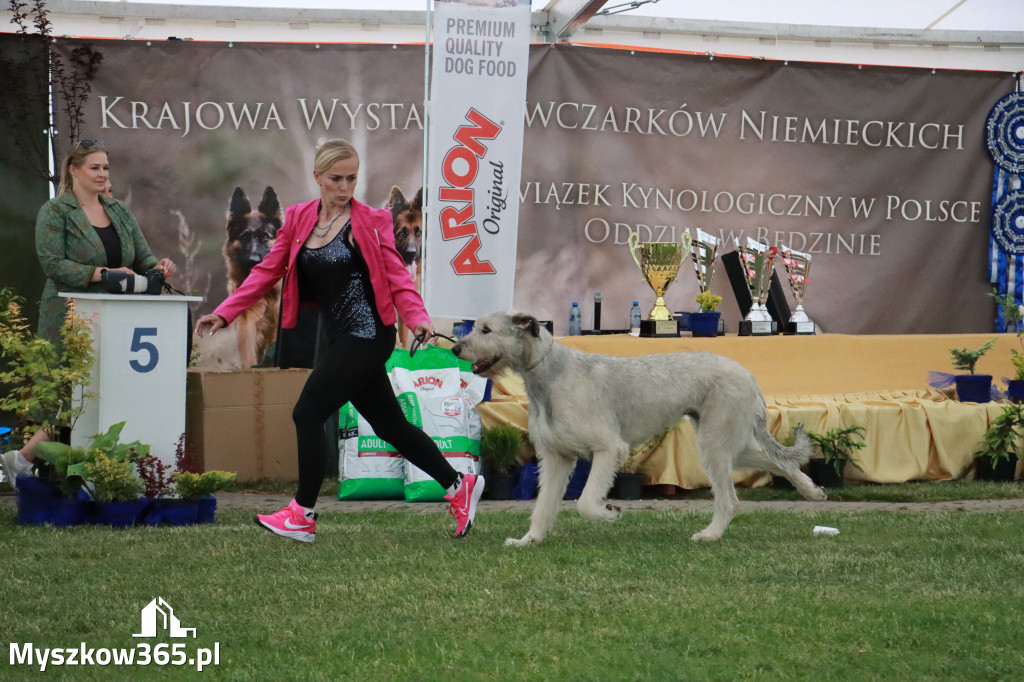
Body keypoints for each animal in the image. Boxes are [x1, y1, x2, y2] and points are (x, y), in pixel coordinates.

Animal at [452, 311, 827, 544]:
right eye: (476, 326)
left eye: (486, 330)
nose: (455, 347)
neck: (550, 374)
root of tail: (749, 376)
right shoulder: (557, 458)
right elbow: (543, 506)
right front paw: (529, 540)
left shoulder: (608, 449)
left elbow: (585, 502)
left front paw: (610, 512)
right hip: (730, 441)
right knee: (778, 461)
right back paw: (811, 491)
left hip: (714, 442)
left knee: (731, 500)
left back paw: (710, 535)